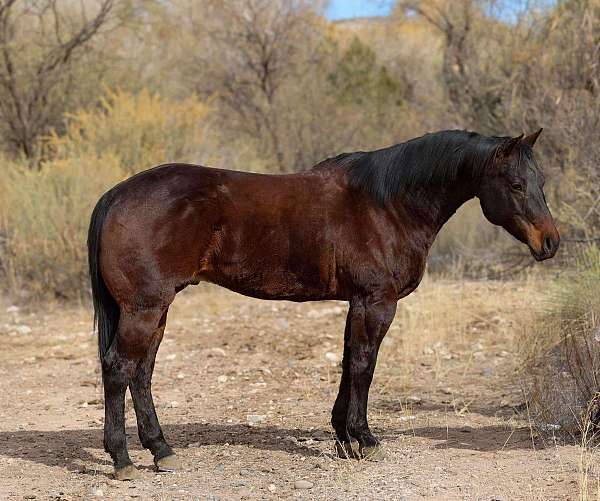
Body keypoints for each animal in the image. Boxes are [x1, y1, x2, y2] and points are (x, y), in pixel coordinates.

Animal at [88, 127, 556, 478]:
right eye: (516, 184)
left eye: (541, 182)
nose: (550, 243)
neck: (386, 203)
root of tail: (117, 194)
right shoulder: (376, 302)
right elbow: (364, 365)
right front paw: (365, 440)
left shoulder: (357, 303)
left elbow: (349, 363)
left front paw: (344, 439)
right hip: (144, 309)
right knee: (118, 369)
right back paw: (123, 459)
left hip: (156, 310)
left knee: (141, 373)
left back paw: (161, 450)